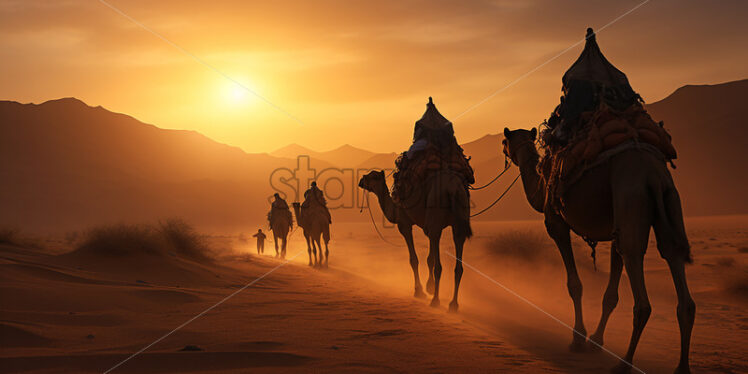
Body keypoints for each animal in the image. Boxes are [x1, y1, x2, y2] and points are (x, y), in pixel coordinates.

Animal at [358, 171, 474, 312]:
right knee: (458, 258)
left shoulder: (404, 224)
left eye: (372, 176)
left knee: (439, 267)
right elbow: (429, 259)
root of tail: (454, 188)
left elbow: (414, 259)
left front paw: (419, 291)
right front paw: (429, 287)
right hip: (459, 220)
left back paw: (435, 301)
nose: (361, 181)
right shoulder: (427, 227)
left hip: (436, 214)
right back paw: (453, 304)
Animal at [502, 127, 696, 372]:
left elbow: (574, 285)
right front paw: (595, 340)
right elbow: (610, 295)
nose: (504, 151)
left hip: (630, 195)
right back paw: (681, 367)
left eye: (505, 141)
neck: (541, 185)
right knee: (673, 256)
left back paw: (624, 364)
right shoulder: (614, 230)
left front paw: (578, 338)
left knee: (637, 273)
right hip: (669, 198)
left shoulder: (556, 223)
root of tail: (652, 174)